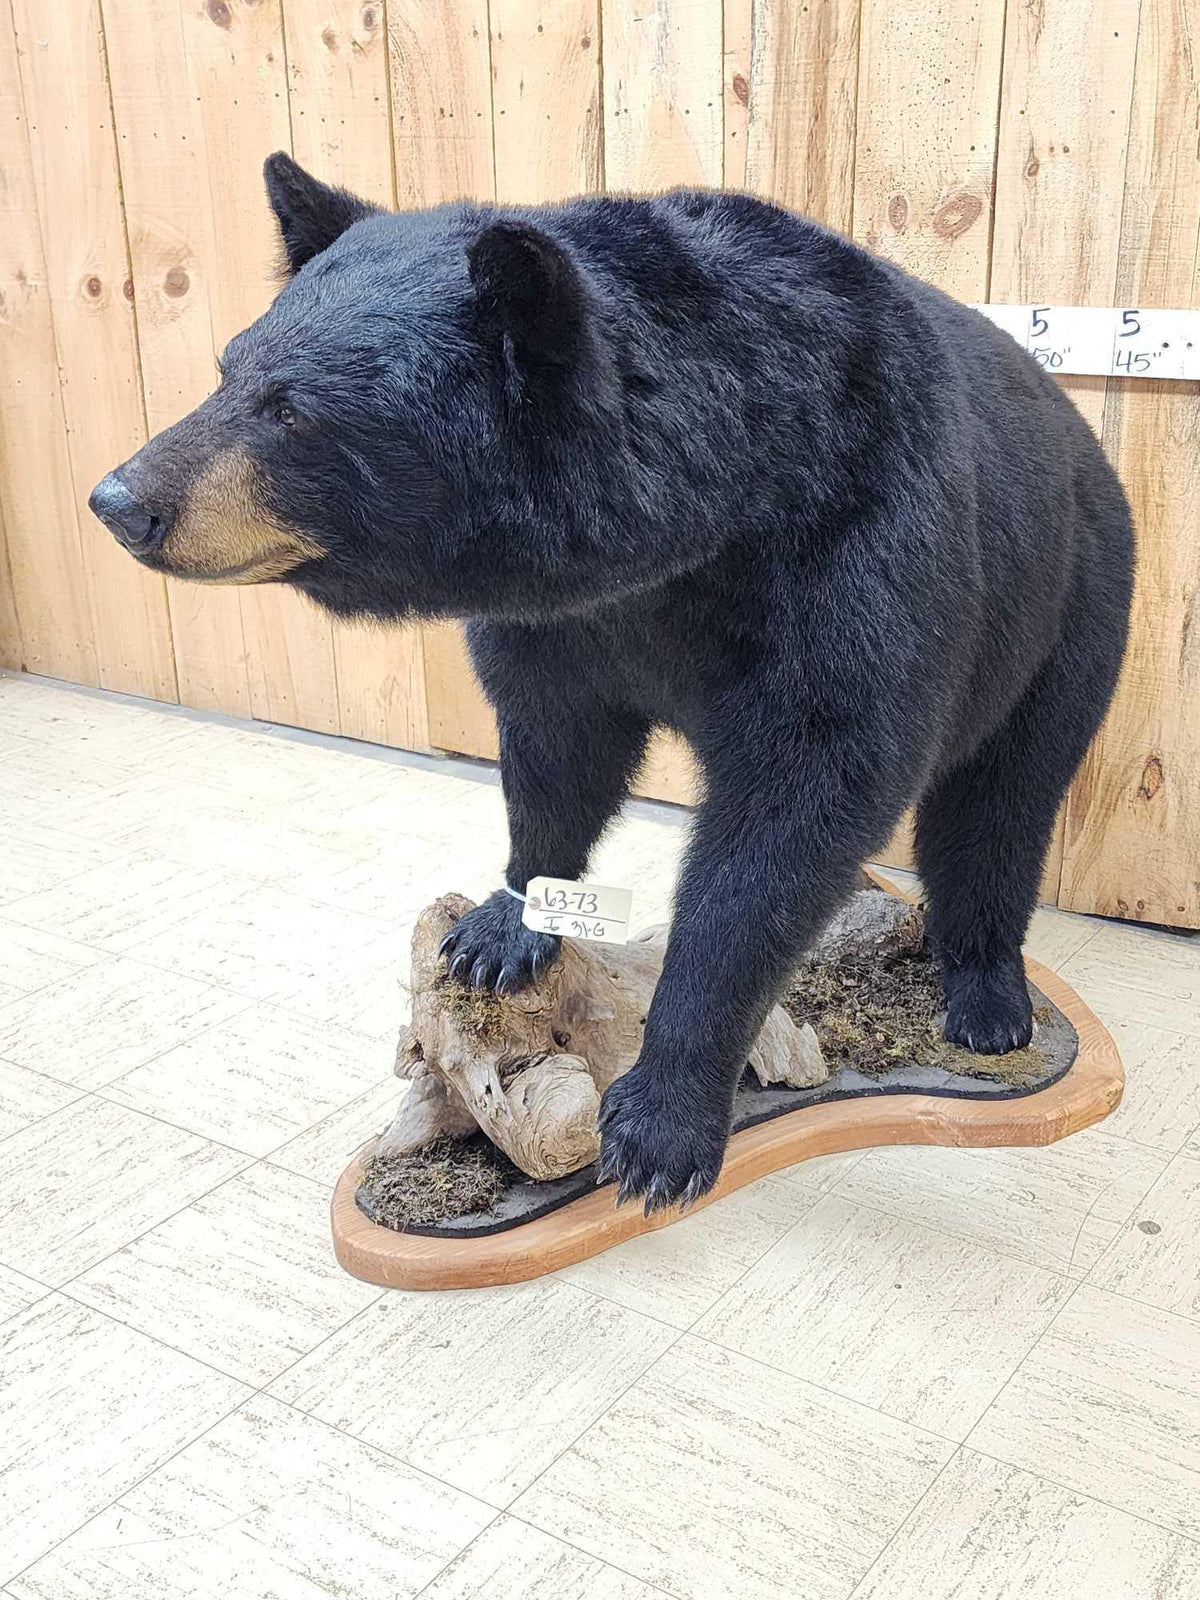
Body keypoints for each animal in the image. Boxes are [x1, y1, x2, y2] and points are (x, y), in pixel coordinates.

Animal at [90, 153, 1134, 1212]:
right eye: (228, 369)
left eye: (293, 409)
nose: (119, 501)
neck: (703, 518)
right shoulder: (565, 623)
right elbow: (555, 748)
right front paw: (505, 924)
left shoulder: (854, 548)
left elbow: (799, 807)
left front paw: (661, 1123)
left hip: (1065, 604)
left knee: (1002, 803)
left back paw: (988, 999)